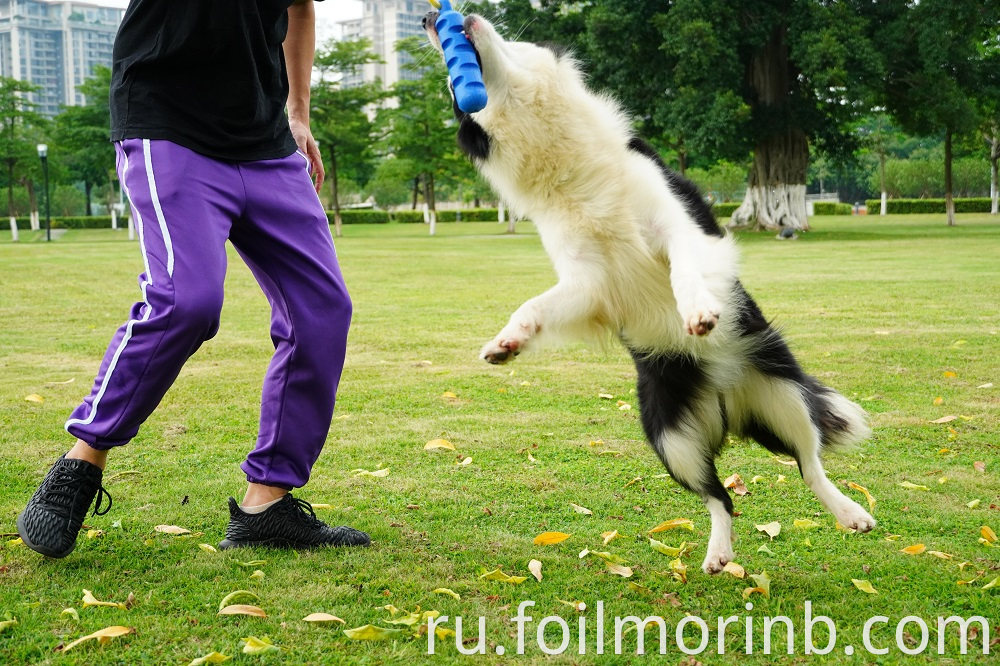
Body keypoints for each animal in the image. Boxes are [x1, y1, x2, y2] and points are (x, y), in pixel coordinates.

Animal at [424, 11, 876, 572]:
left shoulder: (678, 223)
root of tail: (726, 402)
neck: (563, 161)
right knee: (719, 496)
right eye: (451, 86)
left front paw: (699, 311)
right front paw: (506, 342)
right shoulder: (586, 282)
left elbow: (684, 266)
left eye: (511, 39)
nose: (431, 17)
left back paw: (850, 512)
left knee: (809, 463)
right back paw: (718, 552)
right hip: (668, 434)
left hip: (782, 388)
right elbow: (537, 304)